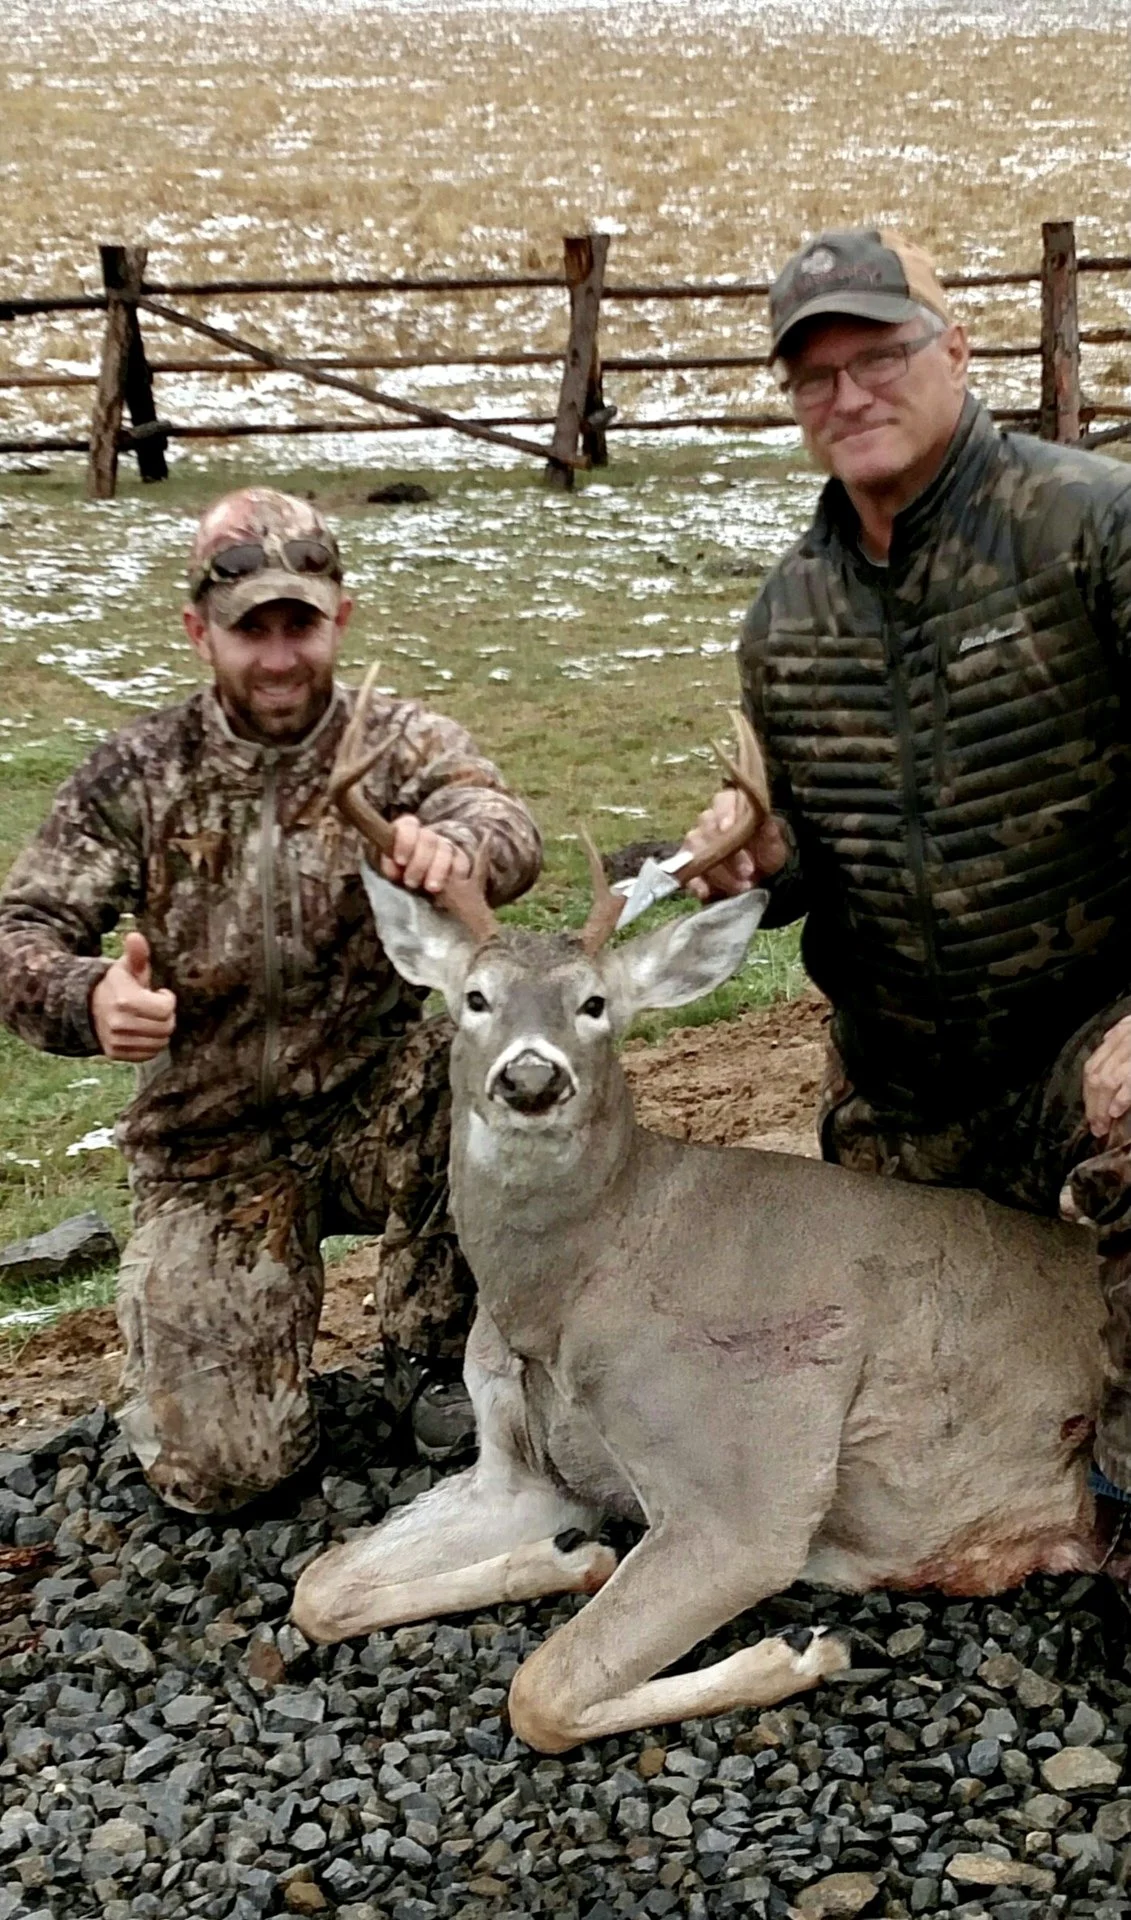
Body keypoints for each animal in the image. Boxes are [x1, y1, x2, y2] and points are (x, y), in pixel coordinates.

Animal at [291, 667, 1109, 1755]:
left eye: (595, 1005)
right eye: (474, 998)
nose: (532, 1080)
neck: (564, 1297)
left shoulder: (746, 1482)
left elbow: (541, 1692)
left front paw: (793, 1654)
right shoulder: (518, 1469)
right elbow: (320, 1586)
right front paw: (565, 1559)